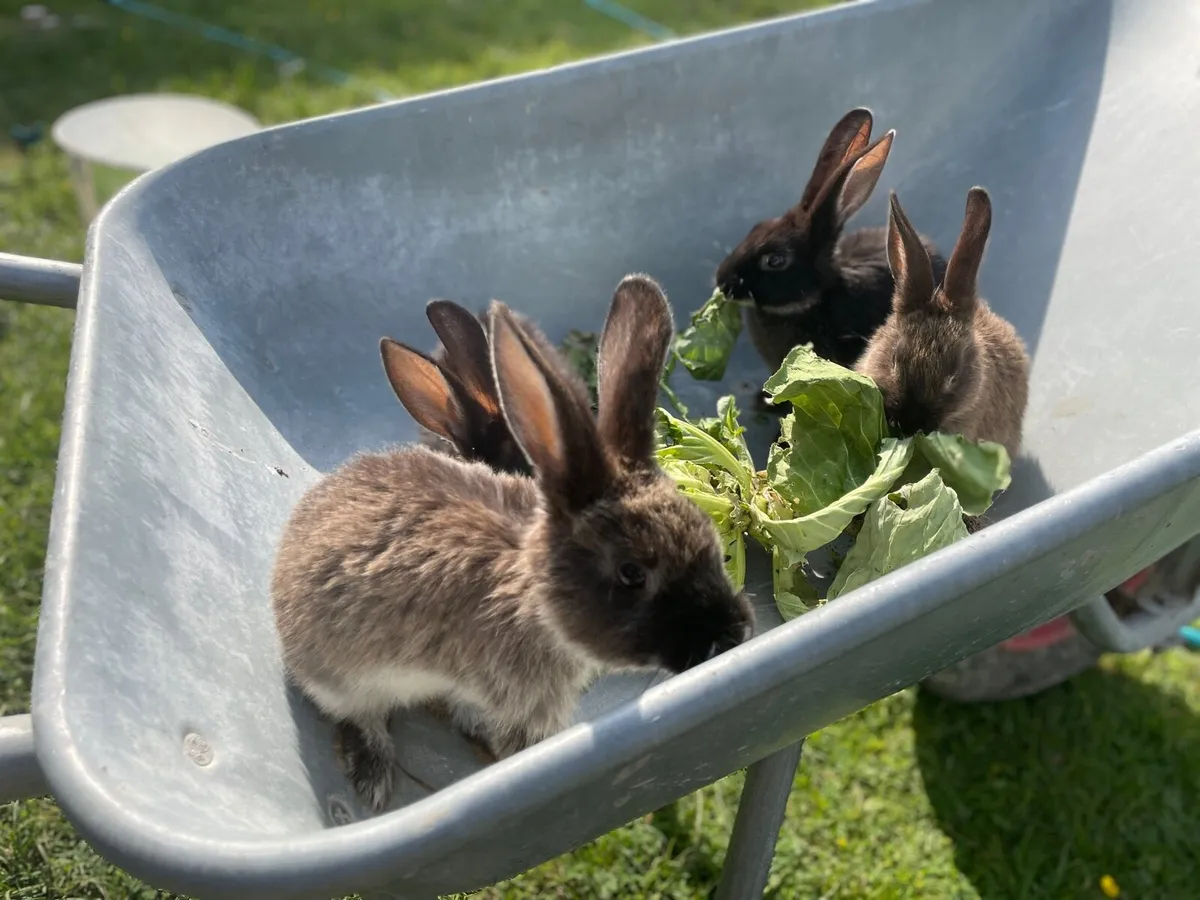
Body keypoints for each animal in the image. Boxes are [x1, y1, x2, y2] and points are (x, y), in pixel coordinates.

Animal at [272, 274, 755, 813]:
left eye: (707, 534)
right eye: (633, 573)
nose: (734, 633)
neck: (534, 599)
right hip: (341, 676)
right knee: (362, 714)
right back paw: (373, 775)